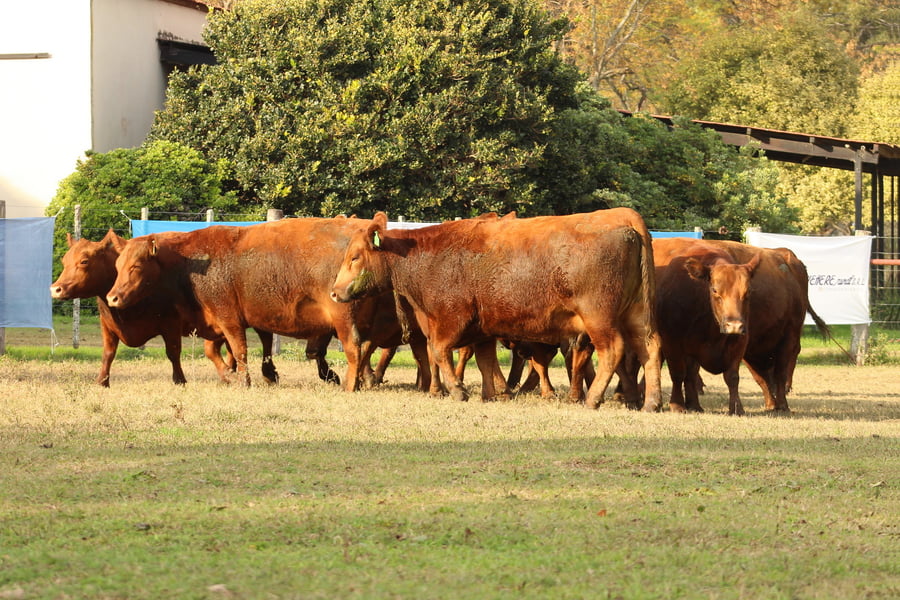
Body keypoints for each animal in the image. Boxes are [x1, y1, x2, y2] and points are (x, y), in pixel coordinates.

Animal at [49, 229, 280, 386]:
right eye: (64, 260)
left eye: (84, 261)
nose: (56, 289)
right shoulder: (107, 326)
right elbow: (108, 354)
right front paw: (102, 381)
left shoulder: (171, 322)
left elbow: (173, 352)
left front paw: (180, 380)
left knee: (264, 339)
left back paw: (267, 373)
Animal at [105, 218, 430, 390]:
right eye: (117, 265)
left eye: (135, 266)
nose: (112, 297)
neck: (193, 262)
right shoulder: (242, 318)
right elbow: (244, 347)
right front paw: (259, 374)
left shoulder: (227, 316)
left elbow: (238, 349)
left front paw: (242, 378)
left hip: (344, 318)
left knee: (355, 348)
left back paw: (352, 382)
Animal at [330, 209, 663, 410]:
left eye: (355, 257)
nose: (334, 292)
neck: (426, 256)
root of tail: (623, 219)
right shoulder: (482, 329)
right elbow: (485, 359)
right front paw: (492, 394)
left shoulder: (452, 318)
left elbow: (439, 351)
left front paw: (458, 390)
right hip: (636, 315)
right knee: (650, 348)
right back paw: (652, 401)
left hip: (599, 317)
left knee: (613, 350)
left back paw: (592, 399)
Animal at [651, 237, 762, 415]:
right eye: (715, 290)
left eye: (748, 291)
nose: (734, 325)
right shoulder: (671, 341)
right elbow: (677, 373)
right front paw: (677, 405)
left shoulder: (739, 341)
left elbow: (732, 377)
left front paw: (736, 407)